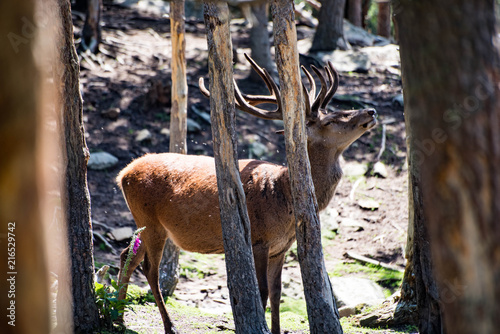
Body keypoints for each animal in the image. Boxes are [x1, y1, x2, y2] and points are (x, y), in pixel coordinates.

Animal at [116, 53, 376, 332]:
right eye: (330, 120)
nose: (370, 111)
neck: (283, 195)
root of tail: (124, 174)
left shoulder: (280, 248)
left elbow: (277, 293)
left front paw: (276, 329)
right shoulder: (258, 240)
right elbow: (261, 292)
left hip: (148, 223)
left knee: (126, 256)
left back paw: (118, 316)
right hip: (150, 220)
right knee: (149, 269)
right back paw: (168, 324)